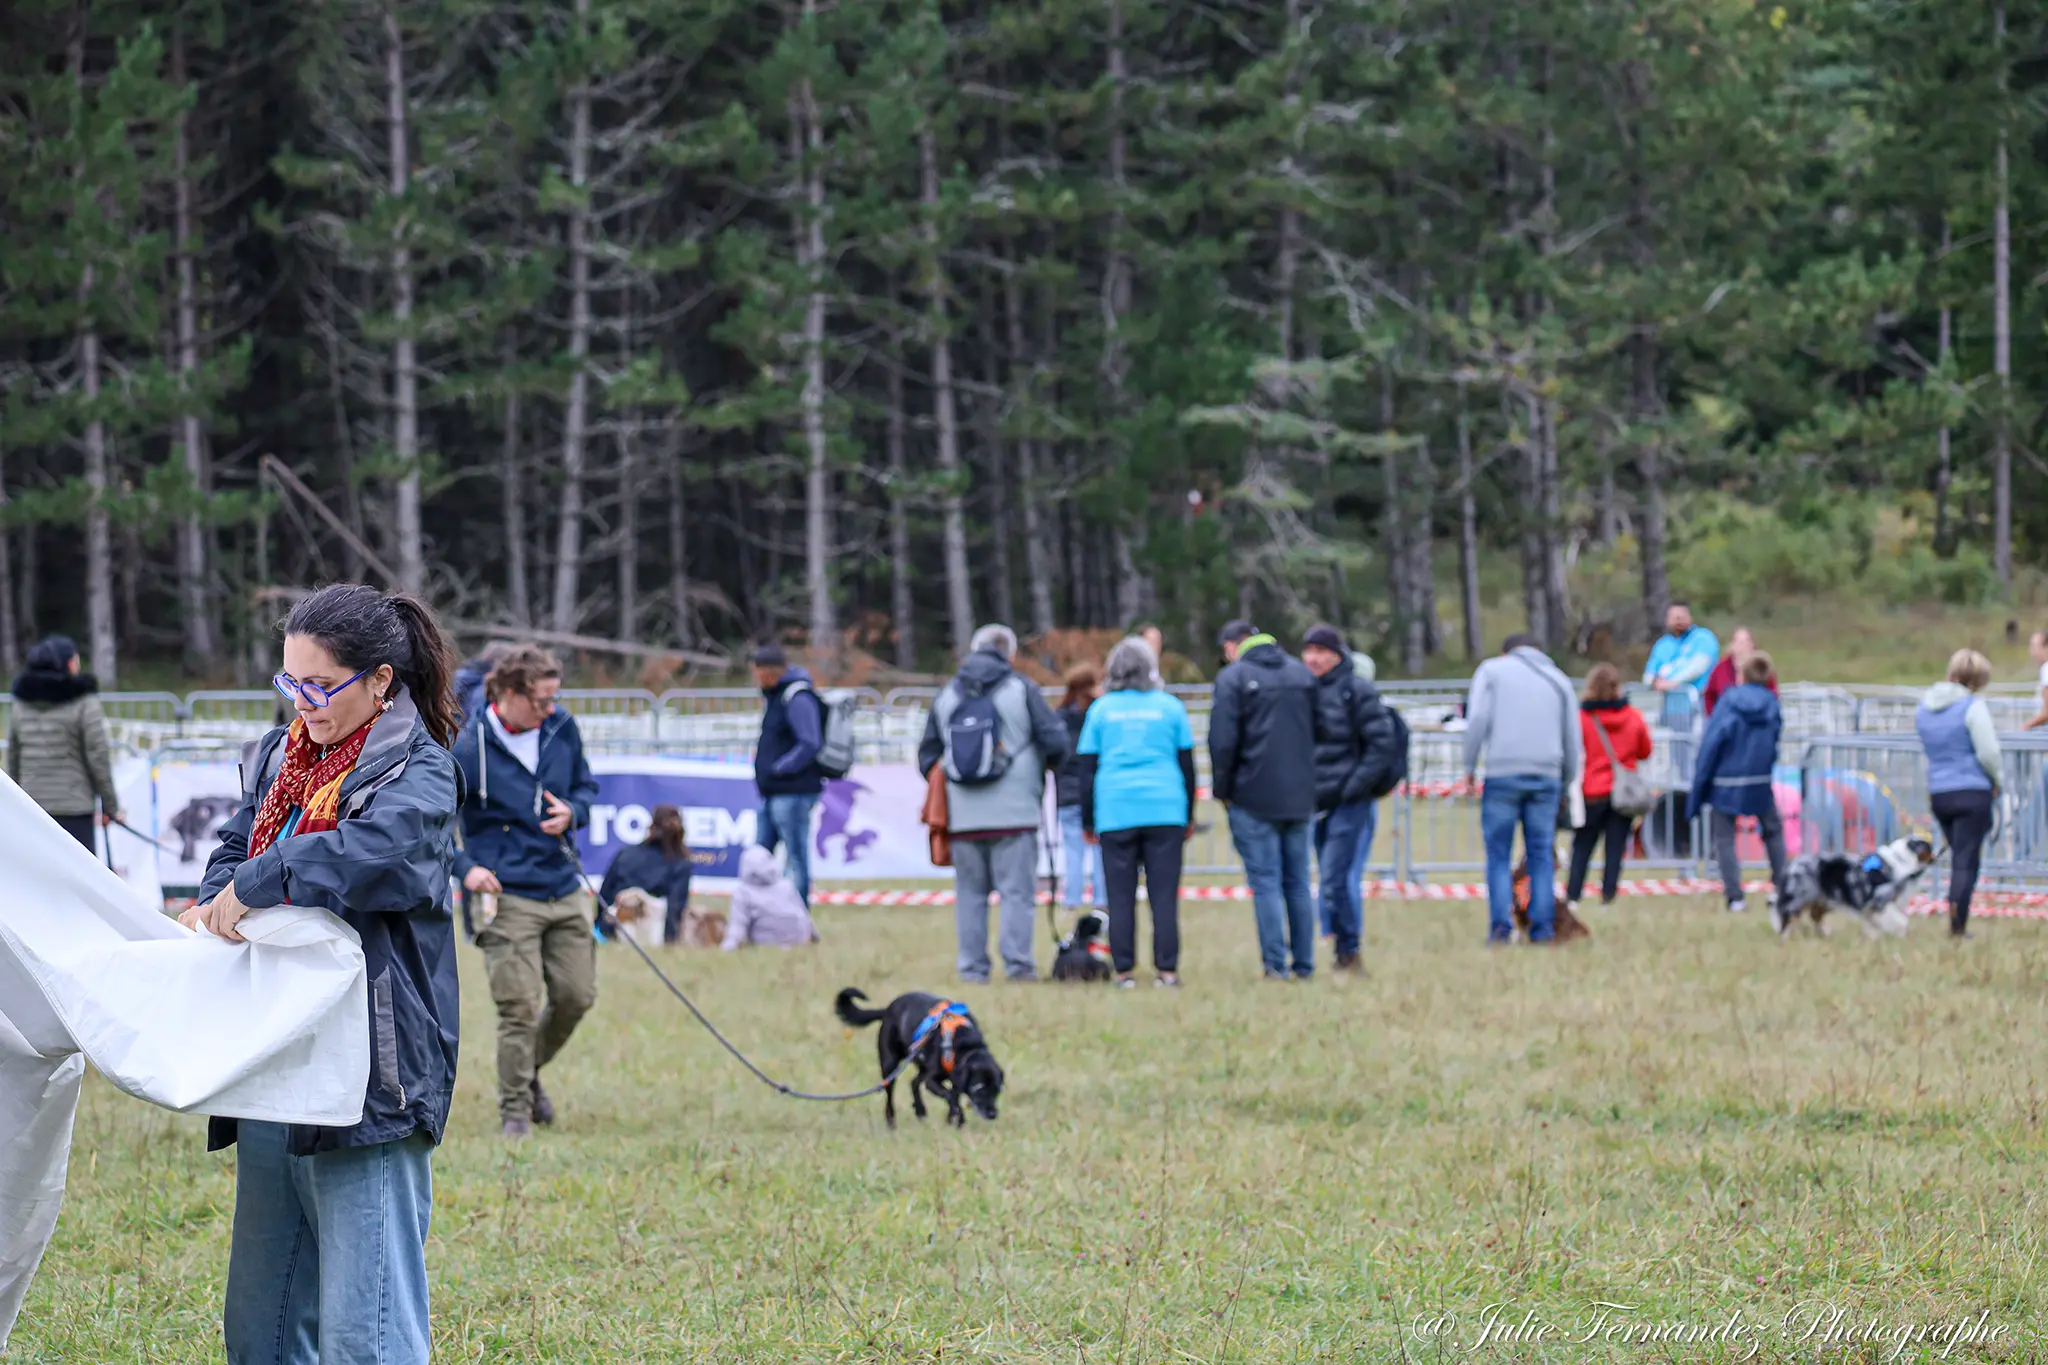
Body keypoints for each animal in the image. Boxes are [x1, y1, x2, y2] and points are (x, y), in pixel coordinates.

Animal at [835, 986, 1003, 1129]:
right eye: (980, 1089)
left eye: (997, 1090)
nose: (993, 1114)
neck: (966, 1044)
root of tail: (889, 1008)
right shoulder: (932, 1081)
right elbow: (950, 1096)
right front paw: (959, 1119)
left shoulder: (954, 1079)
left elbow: (953, 1096)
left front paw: (952, 1119)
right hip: (890, 1065)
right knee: (890, 1094)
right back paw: (891, 1124)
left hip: (921, 1063)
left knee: (914, 1082)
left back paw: (920, 1110)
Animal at [1761, 834, 1933, 941]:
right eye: (1928, 847)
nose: (1936, 851)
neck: (1902, 860)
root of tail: (1790, 865)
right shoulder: (1881, 900)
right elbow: (1902, 921)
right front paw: (1901, 935)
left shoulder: (1871, 908)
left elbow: (1873, 925)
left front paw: (1872, 938)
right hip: (1799, 897)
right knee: (1786, 916)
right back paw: (1785, 938)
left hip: (1825, 898)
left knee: (1815, 915)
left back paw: (1825, 935)